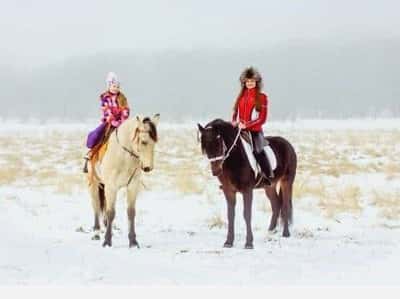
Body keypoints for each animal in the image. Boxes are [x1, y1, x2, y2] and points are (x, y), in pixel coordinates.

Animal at [87, 115, 159, 248]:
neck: (123, 156)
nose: (148, 167)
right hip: (93, 183)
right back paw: (96, 233)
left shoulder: (132, 186)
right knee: (96, 206)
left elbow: (131, 212)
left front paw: (133, 242)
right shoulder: (111, 187)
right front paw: (107, 241)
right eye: (144, 141)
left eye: (155, 142)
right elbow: (111, 212)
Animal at [198, 119, 296, 248]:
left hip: (287, 182)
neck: (234, 158)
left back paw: (286, 233)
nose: (216, 171)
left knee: (285, 206)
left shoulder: (247, 190)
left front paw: (249, 243)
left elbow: (247, 214)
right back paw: (270, 231)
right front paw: (229, 242)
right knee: (276, 205)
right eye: (205, 147)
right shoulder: (228, 191)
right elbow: (230, 215)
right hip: (270, 186)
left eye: (218, 143)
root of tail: (288, 144)